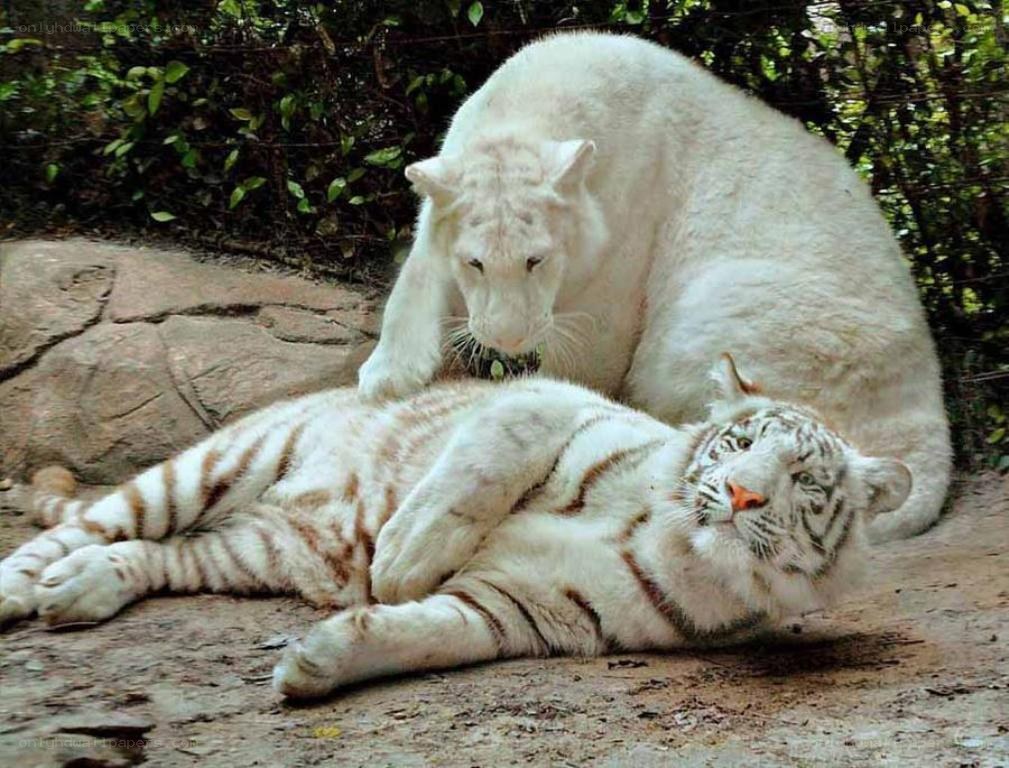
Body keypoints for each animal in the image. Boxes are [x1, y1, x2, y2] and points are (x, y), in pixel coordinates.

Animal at [0, 356, 910, 698]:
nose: (743, 494)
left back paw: (79, 592)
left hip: (248, 551)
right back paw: (22, 586)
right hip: (211, 466)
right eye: (740, 443)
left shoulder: (527, 610)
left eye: (804, 480)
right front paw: (403, 556)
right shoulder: (550, 399)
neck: (674, 544)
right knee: (90, 525)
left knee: (153, 556)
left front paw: (317, 664)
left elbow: (431, 632)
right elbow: (483, 461)